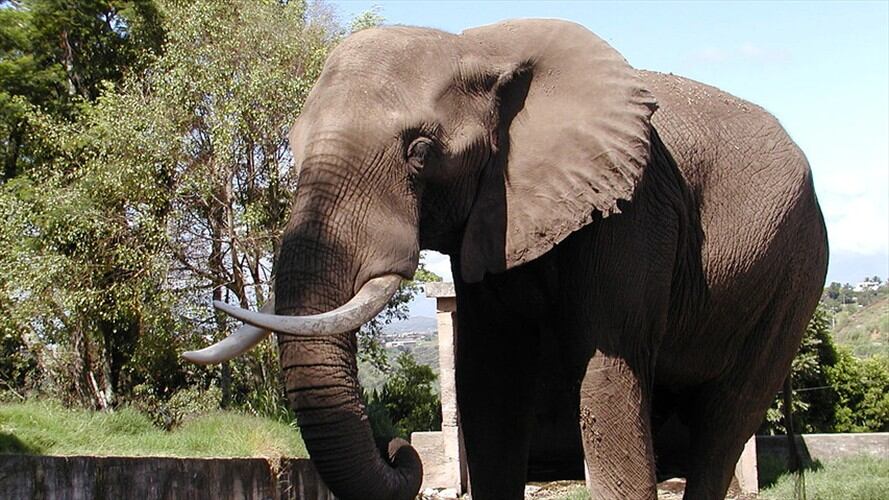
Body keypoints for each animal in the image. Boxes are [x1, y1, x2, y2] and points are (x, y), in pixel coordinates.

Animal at [183, 19, 828, 500]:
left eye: (420, 152)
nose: (399, 450)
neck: (479, 48)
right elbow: (488, 382)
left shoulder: (634, 212)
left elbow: (607, 380)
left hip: (796, 274)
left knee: (729, 415)